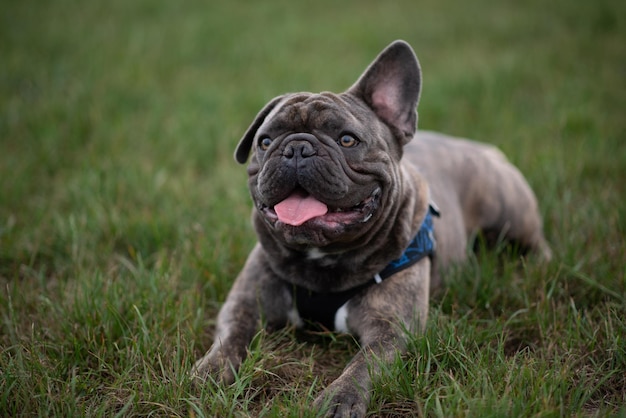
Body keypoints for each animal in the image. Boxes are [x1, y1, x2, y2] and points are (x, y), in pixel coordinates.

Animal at [191, 40, 552, 418]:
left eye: (347, 140)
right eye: (264, 142)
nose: (297, 148)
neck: (323, 261)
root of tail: (483, 148)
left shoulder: (392, 330)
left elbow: (364, 364)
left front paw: (340, 399)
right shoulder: (244, 304)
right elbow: (230, 336)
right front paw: (211, 370)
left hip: (510, 214)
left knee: (535, 242)